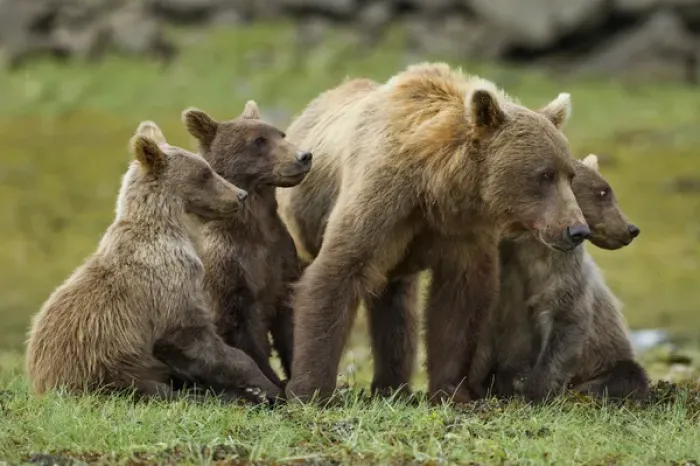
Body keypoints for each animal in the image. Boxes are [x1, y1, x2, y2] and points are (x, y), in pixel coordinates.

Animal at [25, 121, 282, 403]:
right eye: (205, 173)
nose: (240, 195)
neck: (178, 231)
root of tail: (40, 381)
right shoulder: (169, 286)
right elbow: (195, 338)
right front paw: (264, 386)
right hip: (108, 368)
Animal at [176, 101, 312, 389]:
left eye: (281, 134)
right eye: (258, 141)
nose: (304, 156)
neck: (253, 229)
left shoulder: (280, 259)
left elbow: (289, 323)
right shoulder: (229, 272)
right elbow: (243, 335)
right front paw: (274, 384)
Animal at [275, 61, 590, 403]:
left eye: (570, 174)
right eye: (544, 175)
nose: (577, 229)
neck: (436, 183)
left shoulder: (463, 230)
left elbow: (458, 302)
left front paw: (452, 392)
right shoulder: (383, 198)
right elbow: (337, 272)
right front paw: (311, 389)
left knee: (396, 309)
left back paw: (393, 386)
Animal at [467, 154, 650, 402]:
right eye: (603, 192)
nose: (631, 228)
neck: (531, 244)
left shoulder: (563, 270)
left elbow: (566, 318)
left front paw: (535, 391)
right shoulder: (505, 268)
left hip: (611, 359)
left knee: (626, 376)